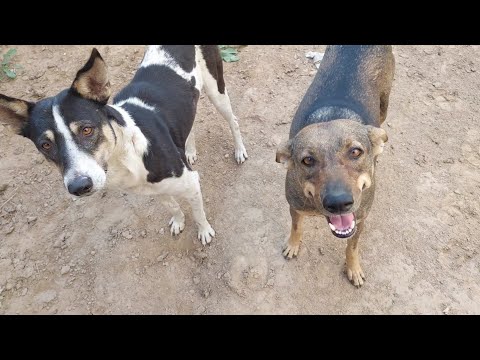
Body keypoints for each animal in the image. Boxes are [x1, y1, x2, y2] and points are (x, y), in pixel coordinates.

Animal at [0, 45, 248, 245]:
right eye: (45, 145)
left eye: (86, 129)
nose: (79, 186)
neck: (126, 157)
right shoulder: (152, 189)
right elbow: (172, 205)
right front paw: (178, 220)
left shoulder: (191, 183)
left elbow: (198, 213)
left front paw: (204, 231)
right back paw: (190, 149)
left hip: (216, 89)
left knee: (233, 121)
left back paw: (239, 151)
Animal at [276, 45, 396, 286]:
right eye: (307, 160)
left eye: (356, 152)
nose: (339, 203)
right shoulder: (295, 207)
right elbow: (296, 227)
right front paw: (293, 245)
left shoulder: (360, 219)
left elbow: (352, 247)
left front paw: (353, 268)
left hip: (384, 102)